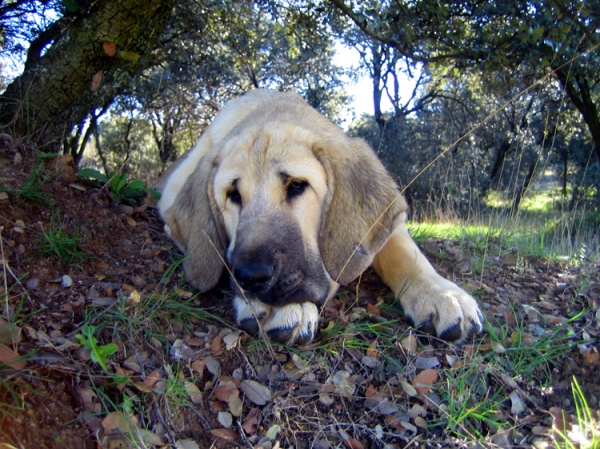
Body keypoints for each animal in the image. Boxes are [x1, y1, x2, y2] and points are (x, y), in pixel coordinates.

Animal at [156, 89, 482, 344]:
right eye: (233, 194)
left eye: (297, 185)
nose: (251, 277)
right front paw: (281, 307)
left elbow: (404, 252)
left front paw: (440, 293)